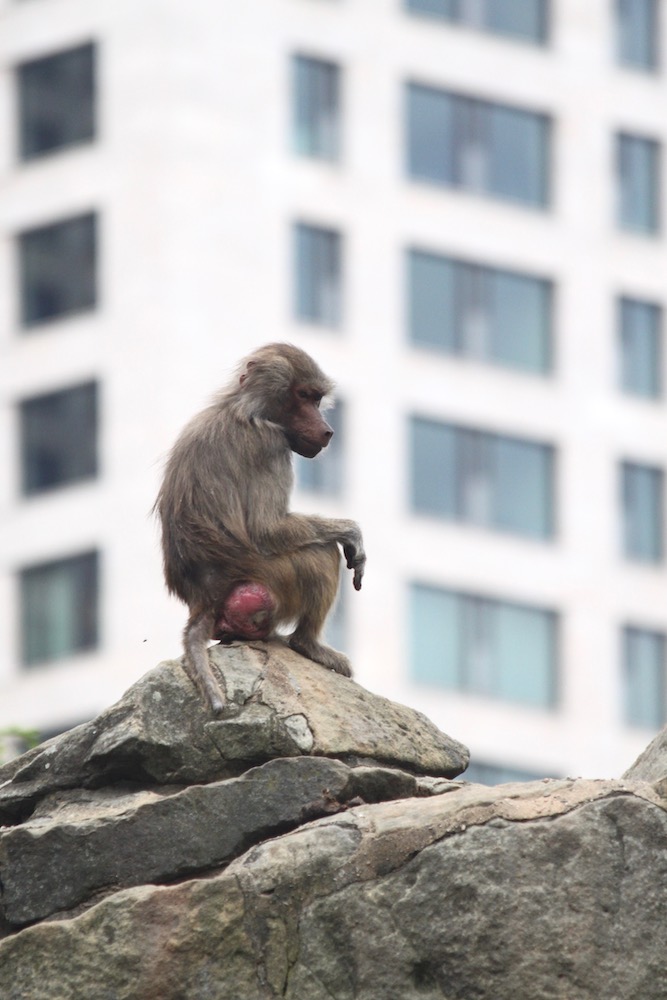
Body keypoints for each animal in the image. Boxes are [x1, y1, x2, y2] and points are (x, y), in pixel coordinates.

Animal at [154, 342, 366, 714]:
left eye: (316, 399)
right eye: (303, 396)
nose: (327, 431)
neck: (243, 408)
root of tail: (204, 598)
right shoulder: (271, 443)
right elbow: (265, 528)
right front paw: (351, 532)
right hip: (276, 579)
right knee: (320, 554)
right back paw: (308, 645)